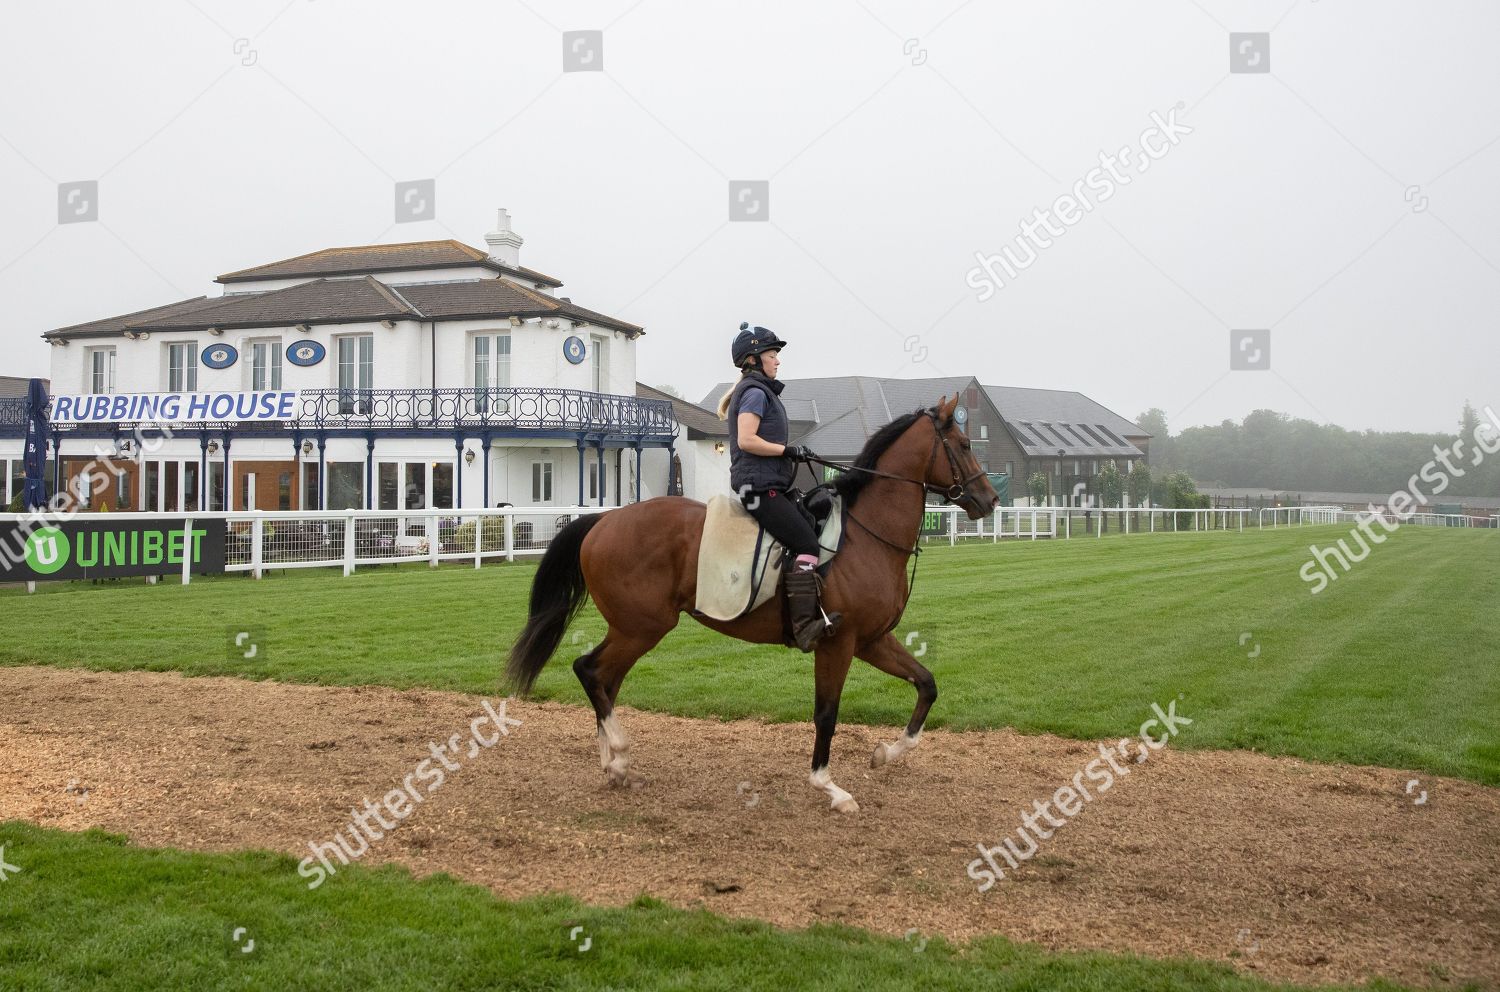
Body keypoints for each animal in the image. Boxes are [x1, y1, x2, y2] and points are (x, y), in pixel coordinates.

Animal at [510, 393, 1002, 810]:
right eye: (962, 444)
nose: (990, 499)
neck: (865, 535)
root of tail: (602, 521)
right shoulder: (838, 643)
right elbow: (827, 713)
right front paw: (829, 786)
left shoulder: (872, 640)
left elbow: (926, 684)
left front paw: (886, 753)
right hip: (642, 628)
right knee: (591, 672)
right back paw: (619, 753)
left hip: (633, 629)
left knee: (604, 679)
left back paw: (612, 764)